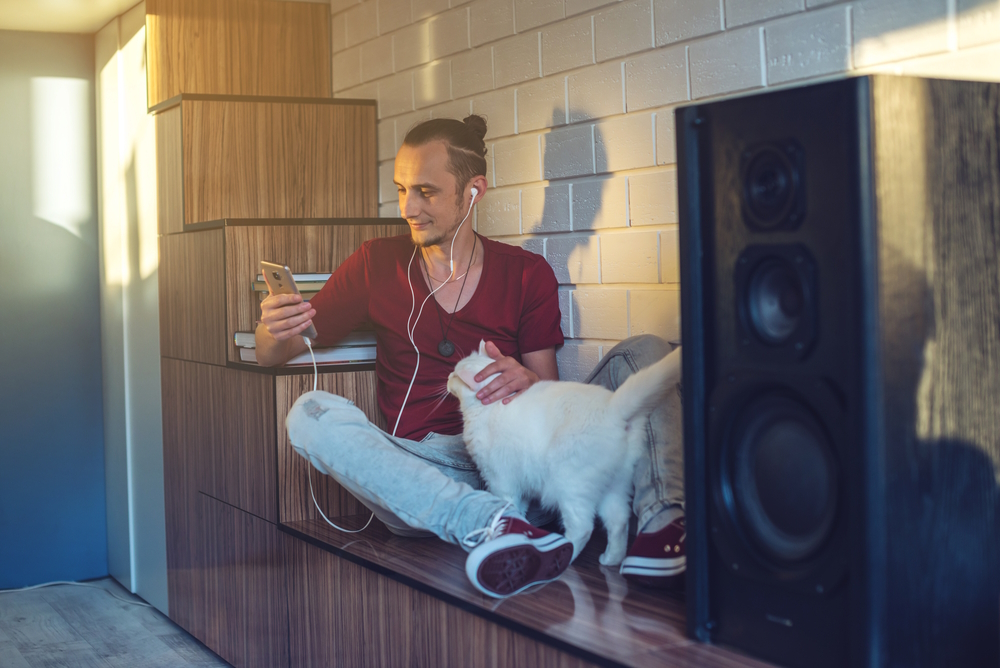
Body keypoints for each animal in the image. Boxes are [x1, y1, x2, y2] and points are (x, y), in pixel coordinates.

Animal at [450, 342, 684, 568]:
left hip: (570, 486)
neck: (489, 407)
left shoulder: (500, 481)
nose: (448, 375)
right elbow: (519, 513)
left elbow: (506, 510)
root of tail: (612, 408)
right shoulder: (519, 484)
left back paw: (560, 559)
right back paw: (609, 560)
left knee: (583, 528)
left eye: (455, 375)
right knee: (618, 523)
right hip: (615, 487)